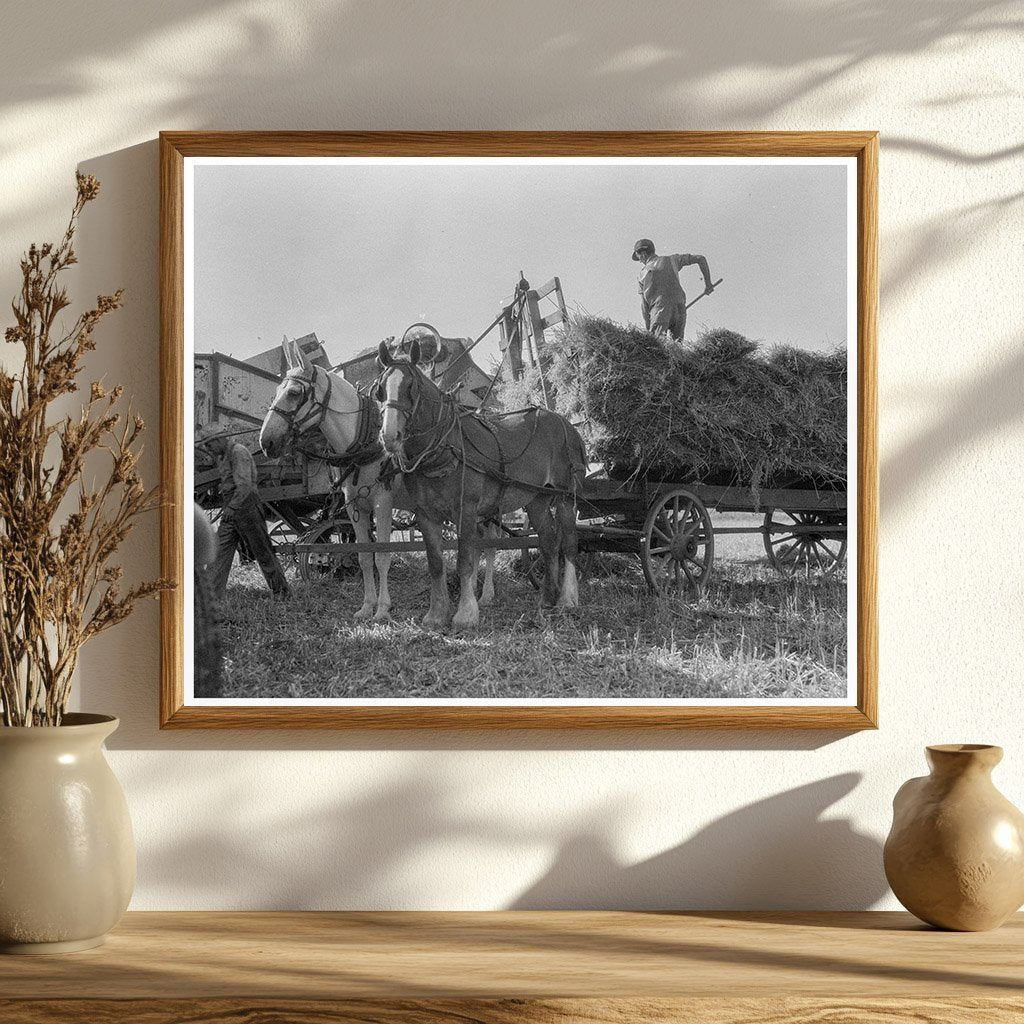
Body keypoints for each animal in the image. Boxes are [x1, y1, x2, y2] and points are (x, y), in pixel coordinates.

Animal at [258, 339, 493, 618]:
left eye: (294, 392)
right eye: (276, 390)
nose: (266, 442)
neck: (363, 443)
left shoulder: (382, 503)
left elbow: (382, 556)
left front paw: (382, 609)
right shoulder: (355, 508)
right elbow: (363, 556)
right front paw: (366, 606)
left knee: (489, 543)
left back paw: (486, 594)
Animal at [376, 339, 585, 626]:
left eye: (411, 386)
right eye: (380, 389)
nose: (389, 436)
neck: (444, 448)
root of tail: (568, 425)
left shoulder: (466, 508)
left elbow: (465, 560)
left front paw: (466, 613)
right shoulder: (426, 515)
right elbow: (435, 564)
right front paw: (436, 614)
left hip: (566, 496)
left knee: (569, 543)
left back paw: (567, 599)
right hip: (537, 501)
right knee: (549, 542)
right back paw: (547, 598)